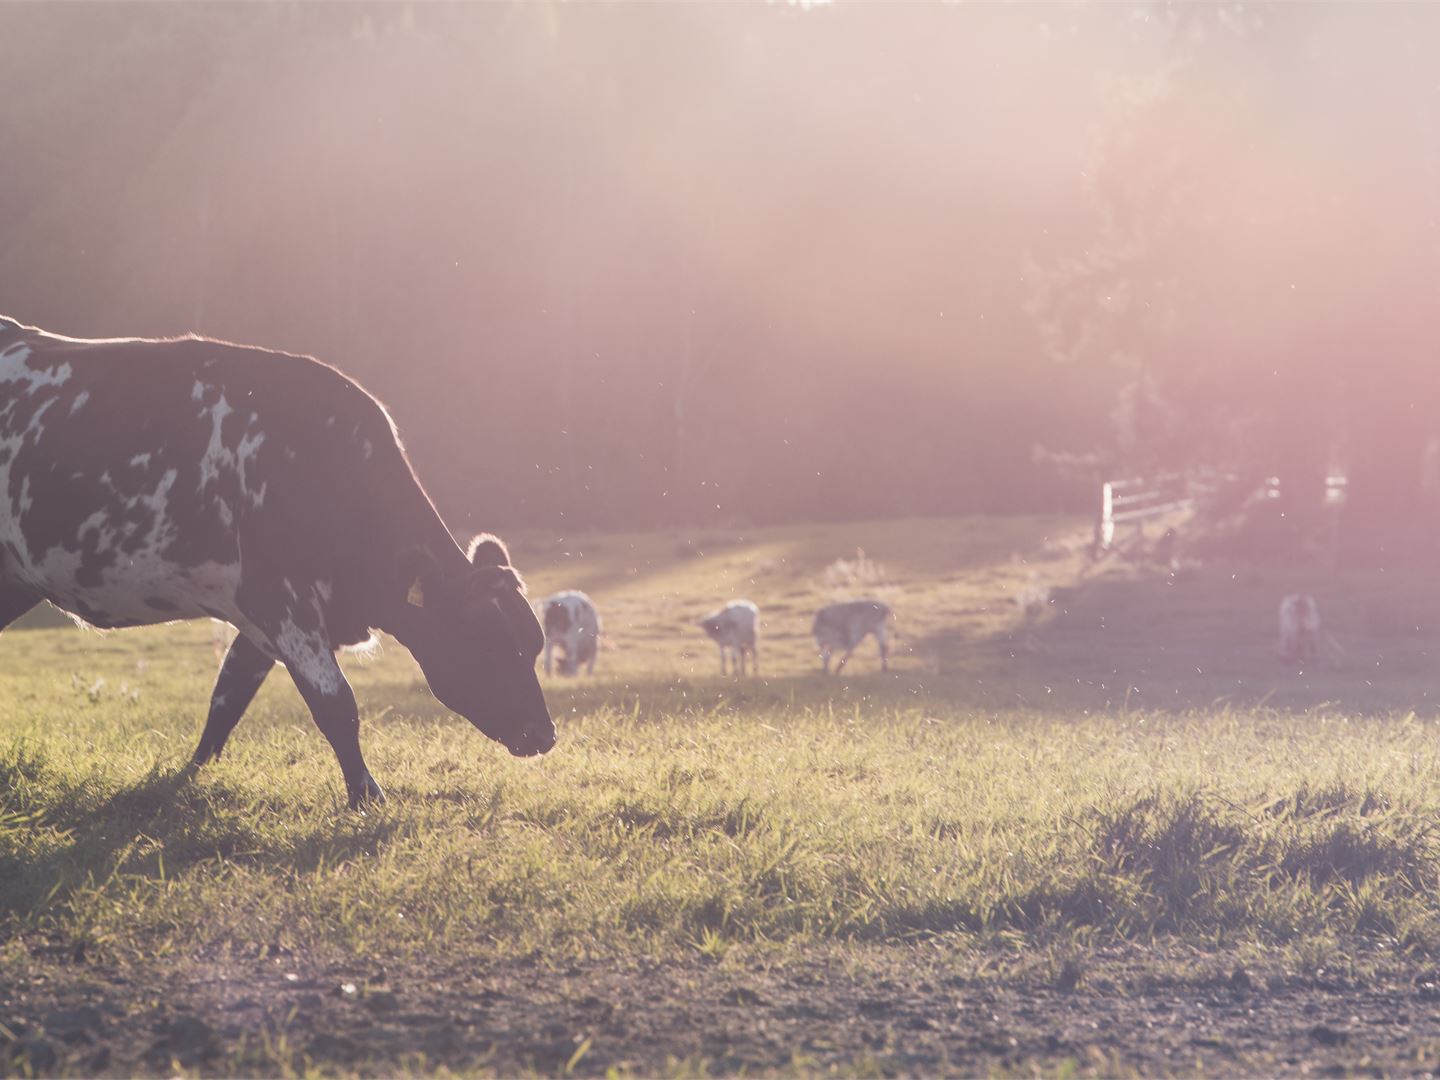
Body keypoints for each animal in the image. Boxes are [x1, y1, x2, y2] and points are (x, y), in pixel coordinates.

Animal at [0, 312, 552, 806]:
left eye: (534, 645)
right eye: (491, 643)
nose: (545, 734)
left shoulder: (262, 620)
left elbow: (227, 698)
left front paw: (189, 777)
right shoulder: (284, 602)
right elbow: (336, 704)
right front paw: (366, 796)